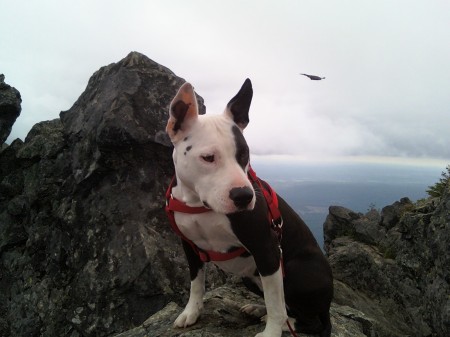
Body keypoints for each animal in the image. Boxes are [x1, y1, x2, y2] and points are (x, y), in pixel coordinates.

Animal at [166, 79, 334, 336]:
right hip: (253, 276)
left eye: (244, 154)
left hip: (293, 269)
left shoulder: (267, 249)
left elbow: (275, 303)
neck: (199, 205)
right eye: (208, 157)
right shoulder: (190, 247)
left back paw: (285, 323)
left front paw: (272, 331)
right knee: (286, 305)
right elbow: (196, 283)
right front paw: (191, 312)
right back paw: (258, 309)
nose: (244, 196)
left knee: (307, 319)